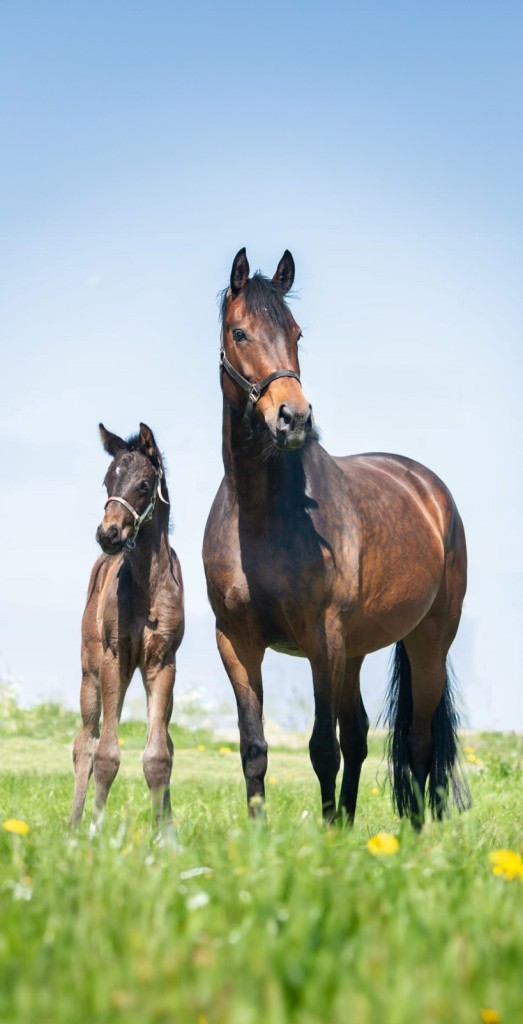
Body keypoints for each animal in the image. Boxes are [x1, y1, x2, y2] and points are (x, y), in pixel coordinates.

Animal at [69, 423, 184, 831]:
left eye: (145, 484)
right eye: (108, 481)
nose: (109, 534)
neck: (147, 587)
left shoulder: (162, 662)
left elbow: (159, 754)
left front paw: (164, 834)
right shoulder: (114, 657)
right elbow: (105, 754)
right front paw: (95, 831)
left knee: (164, 742)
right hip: (91, 670)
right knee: (86, 742)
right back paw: (74, 825)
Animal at [203, 249, 470, 831]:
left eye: (297, 332)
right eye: (239, 332)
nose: (294, 418)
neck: (262, 516)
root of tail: (430, 490)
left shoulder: (321, 640)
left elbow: (322, 747)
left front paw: (325, 839)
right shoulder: (236, 642)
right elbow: (254, 747)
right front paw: (261, 837)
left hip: (427, 641)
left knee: (417, 742)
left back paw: (416, 834)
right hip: (356, 651)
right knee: (361, 734)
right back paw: (348, 825)